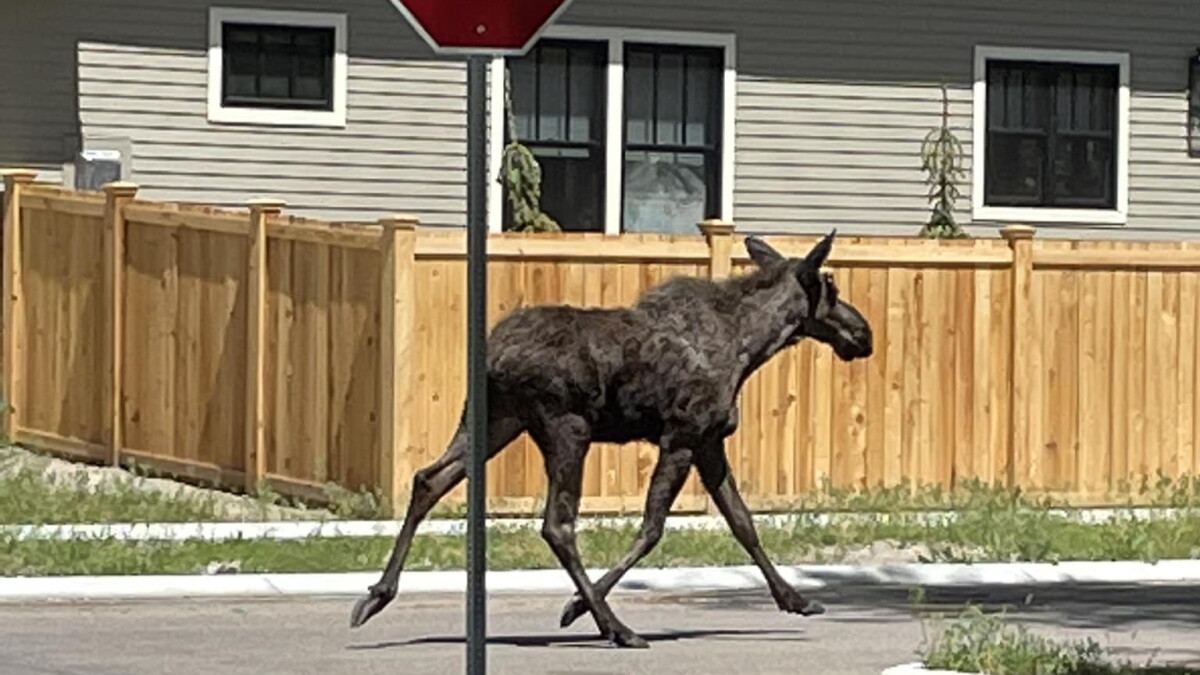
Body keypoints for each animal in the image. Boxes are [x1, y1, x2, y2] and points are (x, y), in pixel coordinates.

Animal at [348, 230, 874, 649]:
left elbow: (743, 522)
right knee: (557, 525)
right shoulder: (682, 435)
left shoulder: (709, 441)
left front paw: (795, 598)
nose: (864, 333)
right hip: (566, 427)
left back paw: (376, 596)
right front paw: (577, 608)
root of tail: (493, 356)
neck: (751, 345)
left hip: (493, 420)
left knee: (428, 479)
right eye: (831, 286)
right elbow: (652, 528)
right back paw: (617, 626)